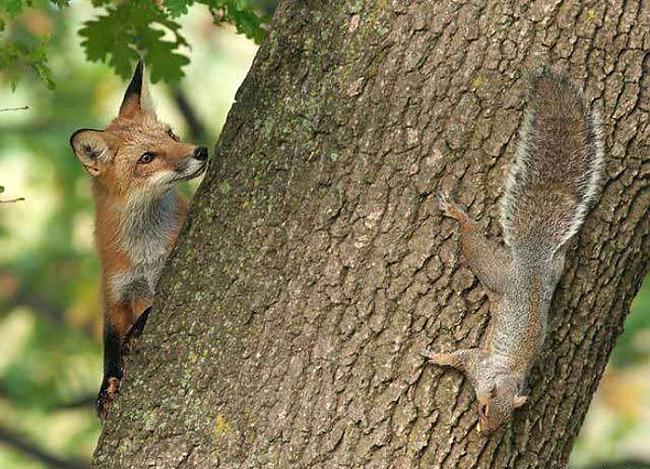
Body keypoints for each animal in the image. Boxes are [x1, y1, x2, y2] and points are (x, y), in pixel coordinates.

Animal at [68, 60, 206, 418]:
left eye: (171, 134)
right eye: (147, 157)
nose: (201, 151)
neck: (144, 250)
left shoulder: (161, 276)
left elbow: (145, 316)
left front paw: (134, 337)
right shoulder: (114, 292)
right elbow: (109, 345)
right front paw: (106, 387)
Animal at [420, 70, 604, 436]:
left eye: (505, 421)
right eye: (482, 409)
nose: (485, 432)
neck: (505, 378)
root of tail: (532, 258)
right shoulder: (479, 364)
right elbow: (461, 357)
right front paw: (438, 357)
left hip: (549, 270)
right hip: (492, 268)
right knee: (472, 239)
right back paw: (459, 215)